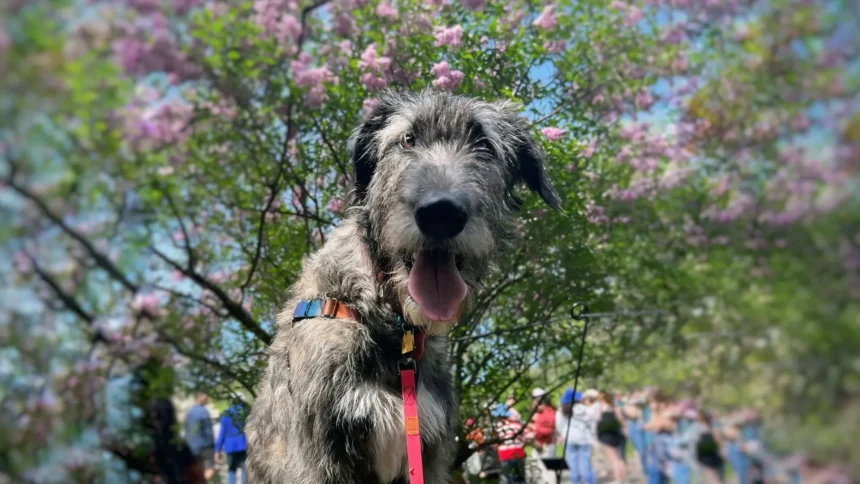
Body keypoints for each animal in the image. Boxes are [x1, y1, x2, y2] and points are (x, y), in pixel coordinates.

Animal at [245, 91, 560, 484]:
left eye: (484, 145)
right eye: (407, 139)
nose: (441, 213)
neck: (393, 330)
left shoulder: (432, 453)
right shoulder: (319, 456)